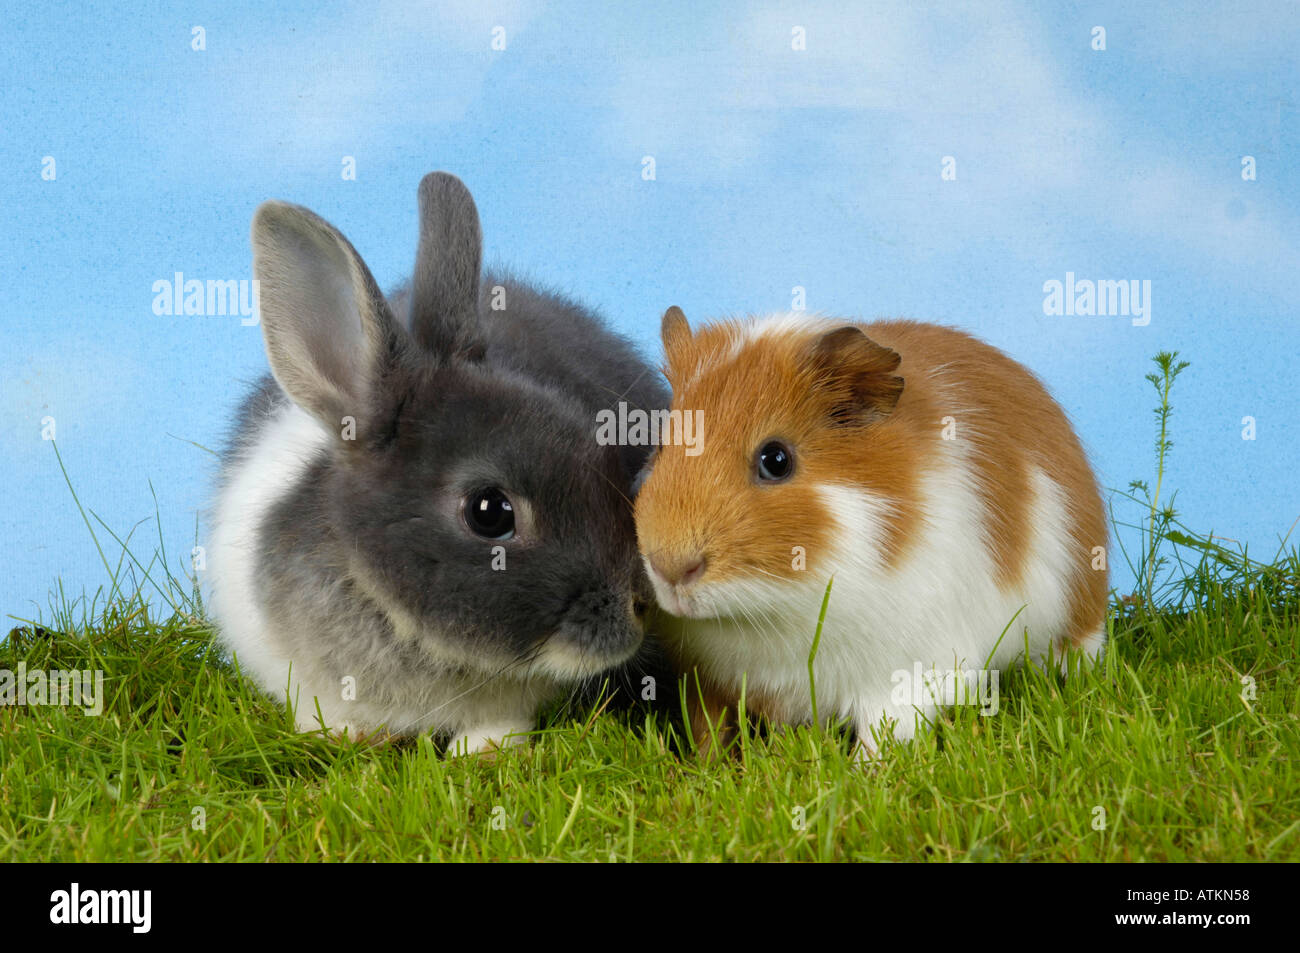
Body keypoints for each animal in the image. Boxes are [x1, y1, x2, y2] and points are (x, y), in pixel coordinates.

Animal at [633, 308, 1109, 757]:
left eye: (776, 459)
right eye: (660, 447)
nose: (670, 568)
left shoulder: (906, 677)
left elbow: (883, 735)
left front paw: (863, 773)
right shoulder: (706, 678)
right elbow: (709, 730)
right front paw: (703, 767)